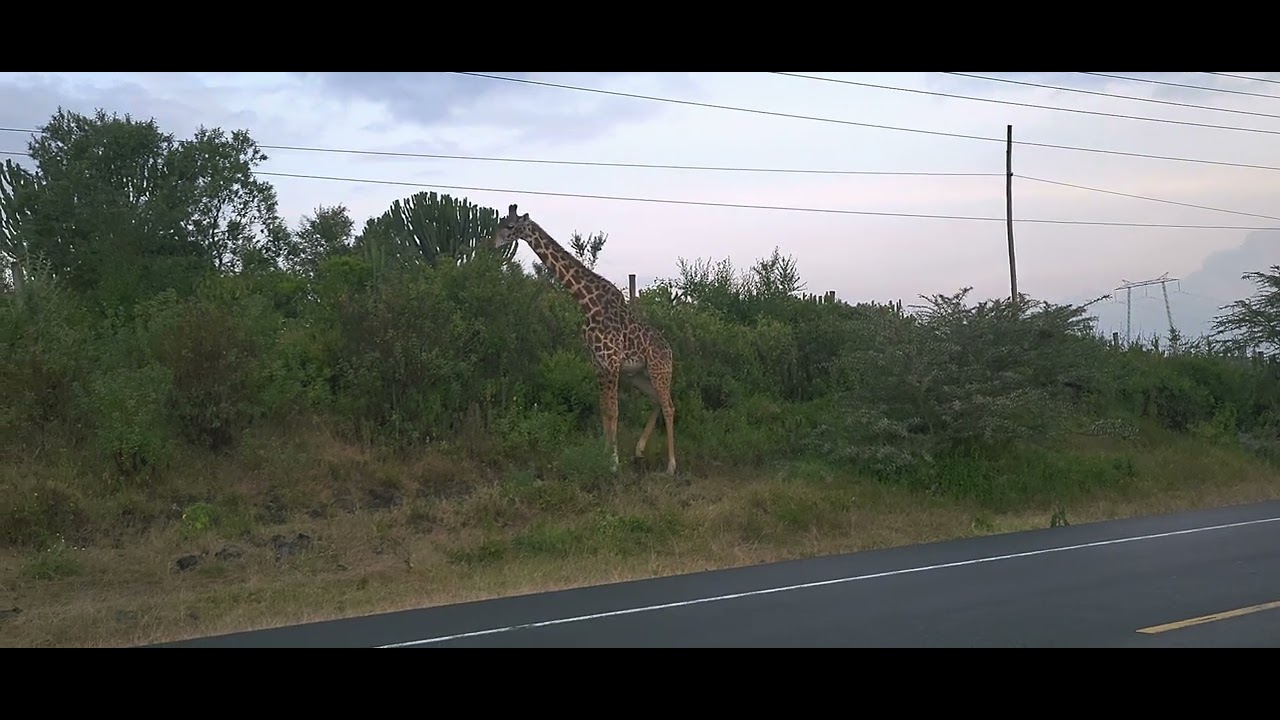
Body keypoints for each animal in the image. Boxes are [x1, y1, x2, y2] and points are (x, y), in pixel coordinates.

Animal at [490, 204, 677, 475]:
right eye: (501, 222)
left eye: (510, 226)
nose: (491, 243)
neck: (587, 304)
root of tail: (670, 350)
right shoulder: (598, 364)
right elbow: (604, 410)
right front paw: (605, 455)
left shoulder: (611, 362)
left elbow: (613, 411)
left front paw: (613, 463)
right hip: (639, 376)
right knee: (657, 402)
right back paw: (639, 451)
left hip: (659, 370)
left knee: (669, 406)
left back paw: (671, 465)